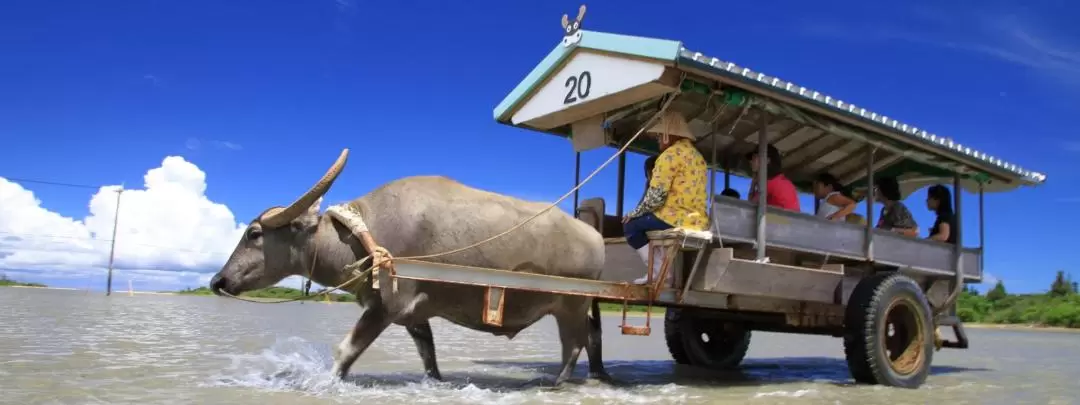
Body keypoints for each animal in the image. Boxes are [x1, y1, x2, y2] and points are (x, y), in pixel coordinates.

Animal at [207, 150, 613, 386]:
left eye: (254, 233)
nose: (217, 279)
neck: (361, 238)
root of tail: (593, 235)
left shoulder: (385, 307)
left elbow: (345, 351)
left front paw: (330, 379)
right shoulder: (415, 315)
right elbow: (427, 355)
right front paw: (436, 381)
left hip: (570, 304)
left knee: (574, 343)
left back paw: (557, 383)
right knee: (591, 336)